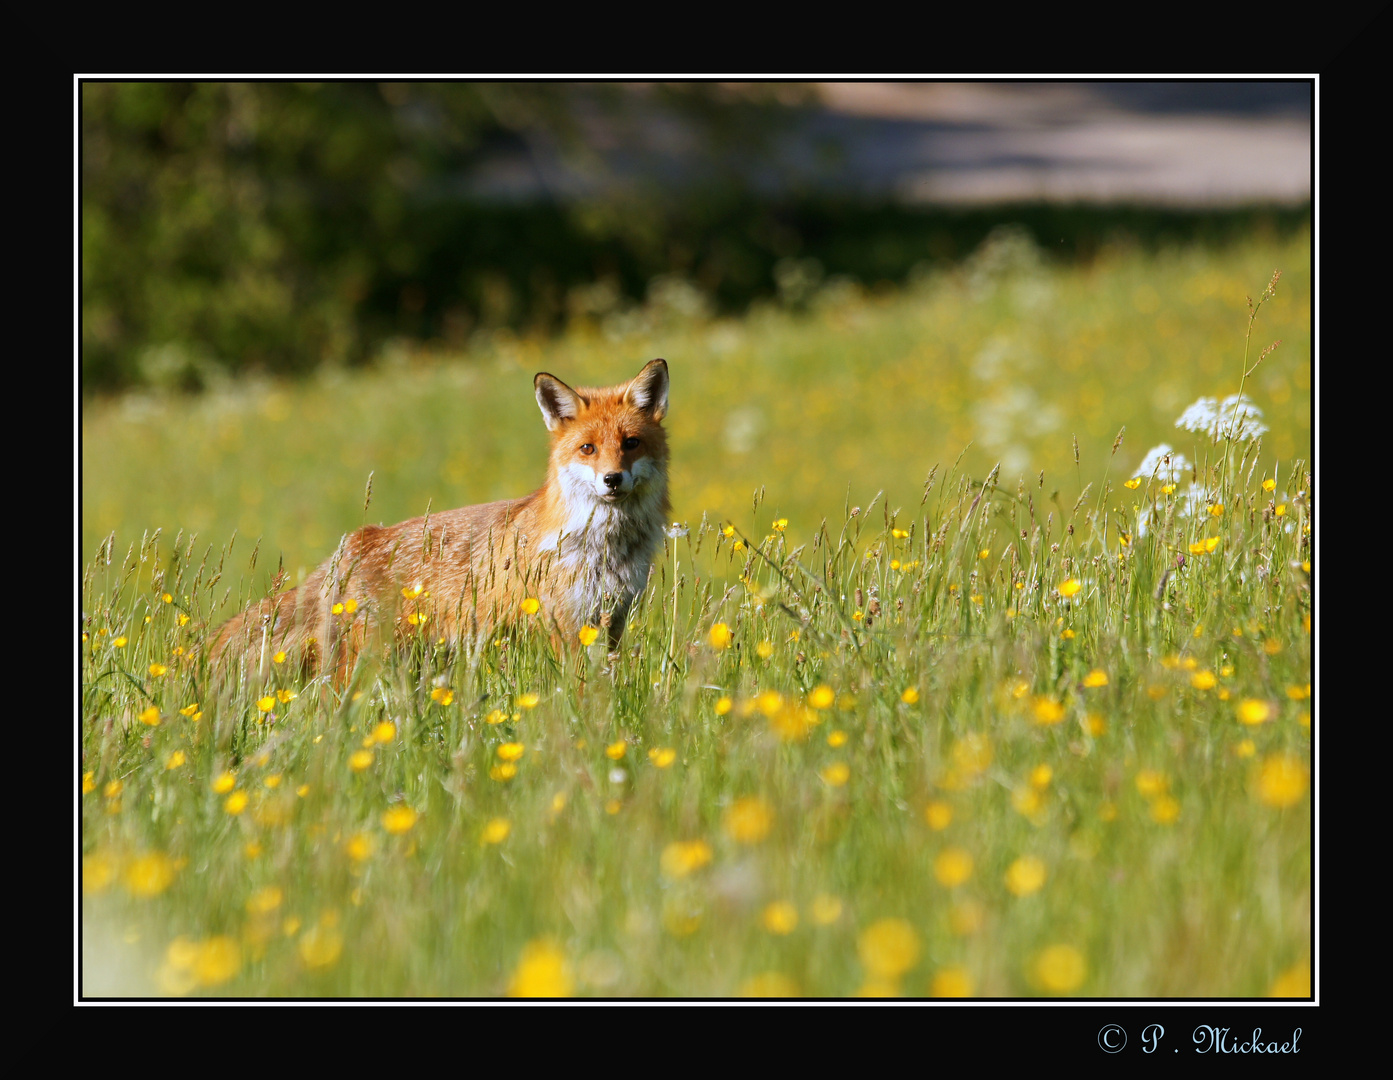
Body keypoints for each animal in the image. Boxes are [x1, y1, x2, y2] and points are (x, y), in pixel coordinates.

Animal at [213, 359, 674, 671]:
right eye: (588, 449)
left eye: (631, 443)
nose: (612, 479)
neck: (605, 547)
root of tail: (358, 540)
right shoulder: (566, 623)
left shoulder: (611, 620)